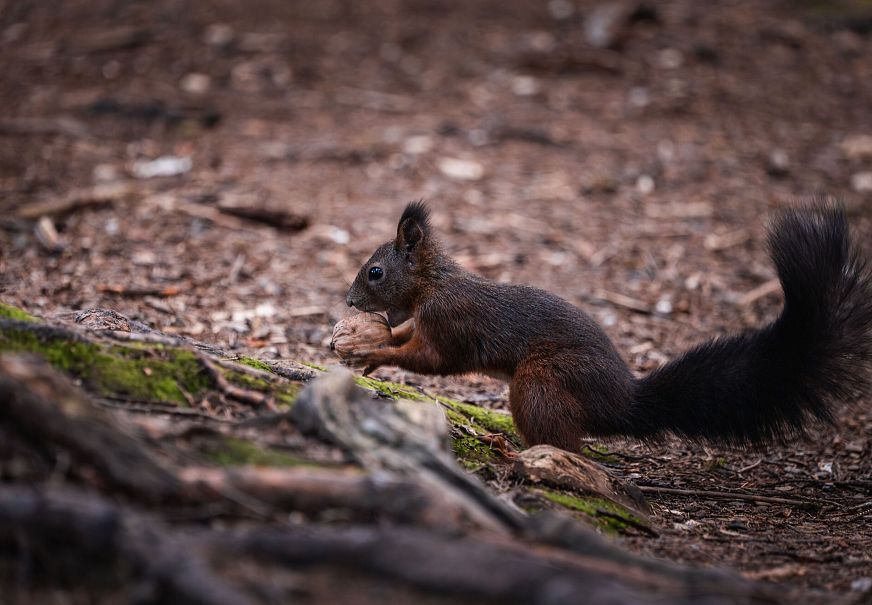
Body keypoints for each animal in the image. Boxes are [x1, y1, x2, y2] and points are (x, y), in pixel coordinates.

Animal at [343, 201, 872, 450]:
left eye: (375, 272)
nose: (348, 301)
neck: (433, 283)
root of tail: (624, 402)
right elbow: (409, 337)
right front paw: (376, 343)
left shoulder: (450, 323)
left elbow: (431, 360)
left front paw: (372, 353)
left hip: (542, 382)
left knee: (568, 445)